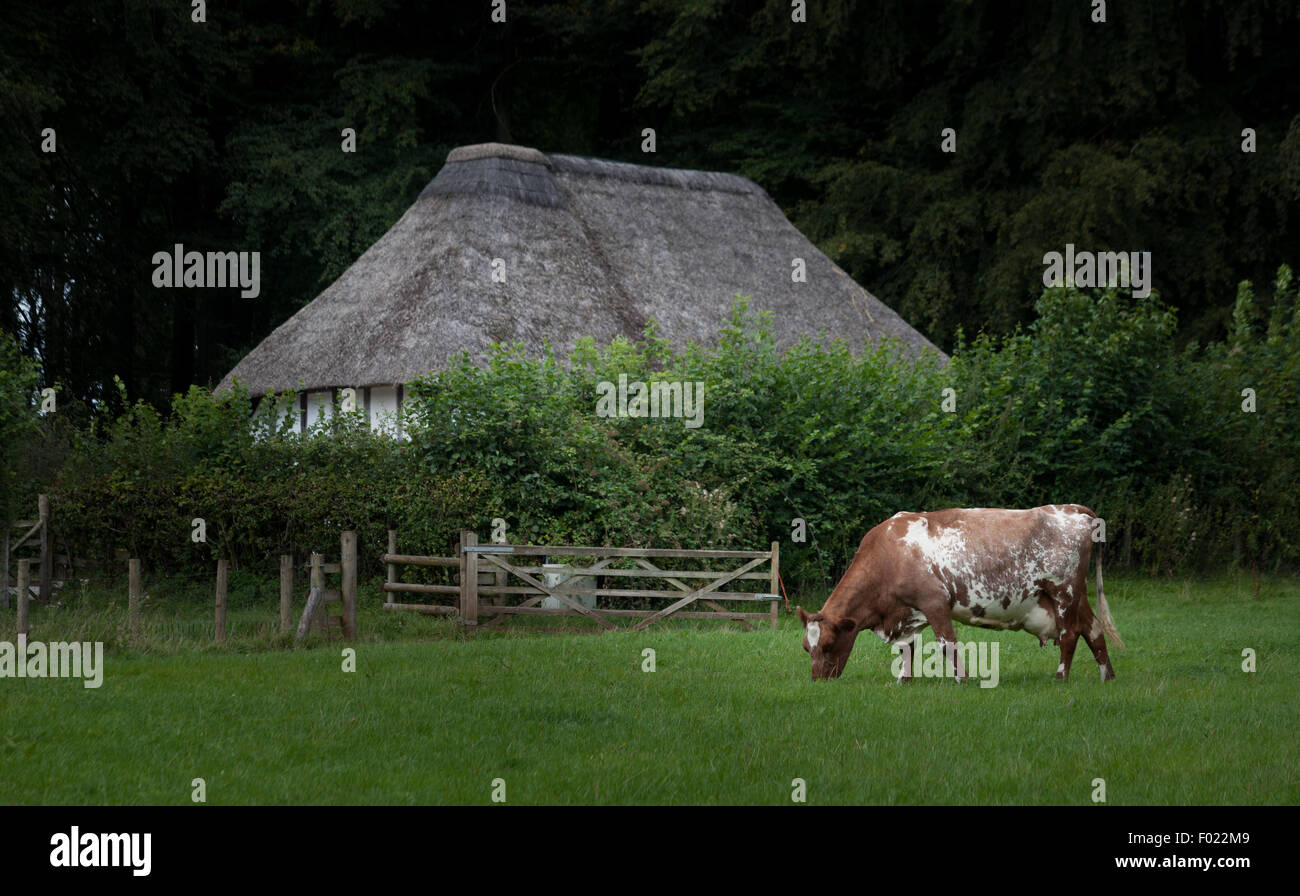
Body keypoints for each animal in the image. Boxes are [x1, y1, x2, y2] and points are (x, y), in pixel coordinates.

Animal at [795, 507, 1123, 681]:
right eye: (806, 647)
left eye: (828, 645)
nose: (818, 681)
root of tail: (1073, 509)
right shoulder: (907, 611)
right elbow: (907, 649)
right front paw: (904, 680)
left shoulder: (935, 603)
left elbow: (948, 644)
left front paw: (962, 679)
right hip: (1075, 597)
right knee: (1094, 630)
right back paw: (1107, 677)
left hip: (1064, 591)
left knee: (1070, 635)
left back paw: (1060, 677)